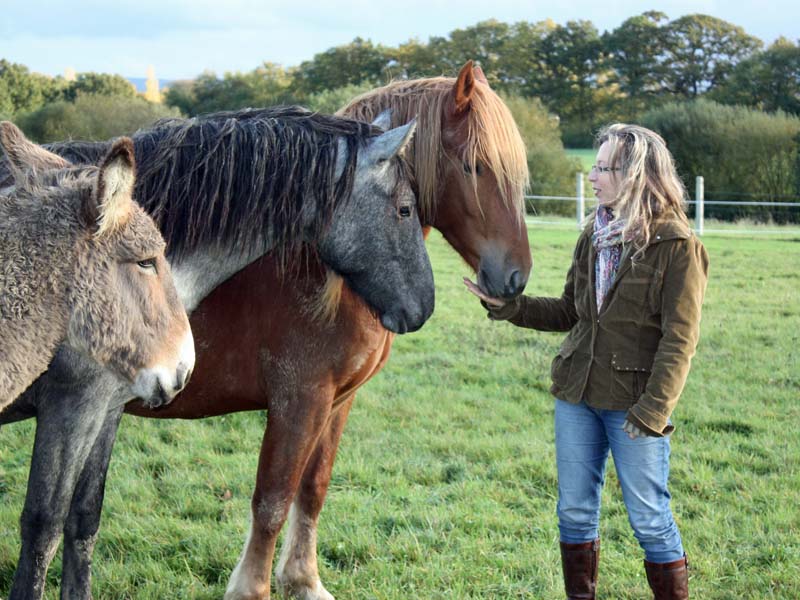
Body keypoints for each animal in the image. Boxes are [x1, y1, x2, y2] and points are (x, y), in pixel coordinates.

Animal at [4, 62, 532, 600]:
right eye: (475, 167)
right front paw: (254, 588)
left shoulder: (334, 402)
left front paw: (304, 581)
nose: (514, 279)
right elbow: (272, 499)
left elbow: (312, 488)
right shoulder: (293, 400)